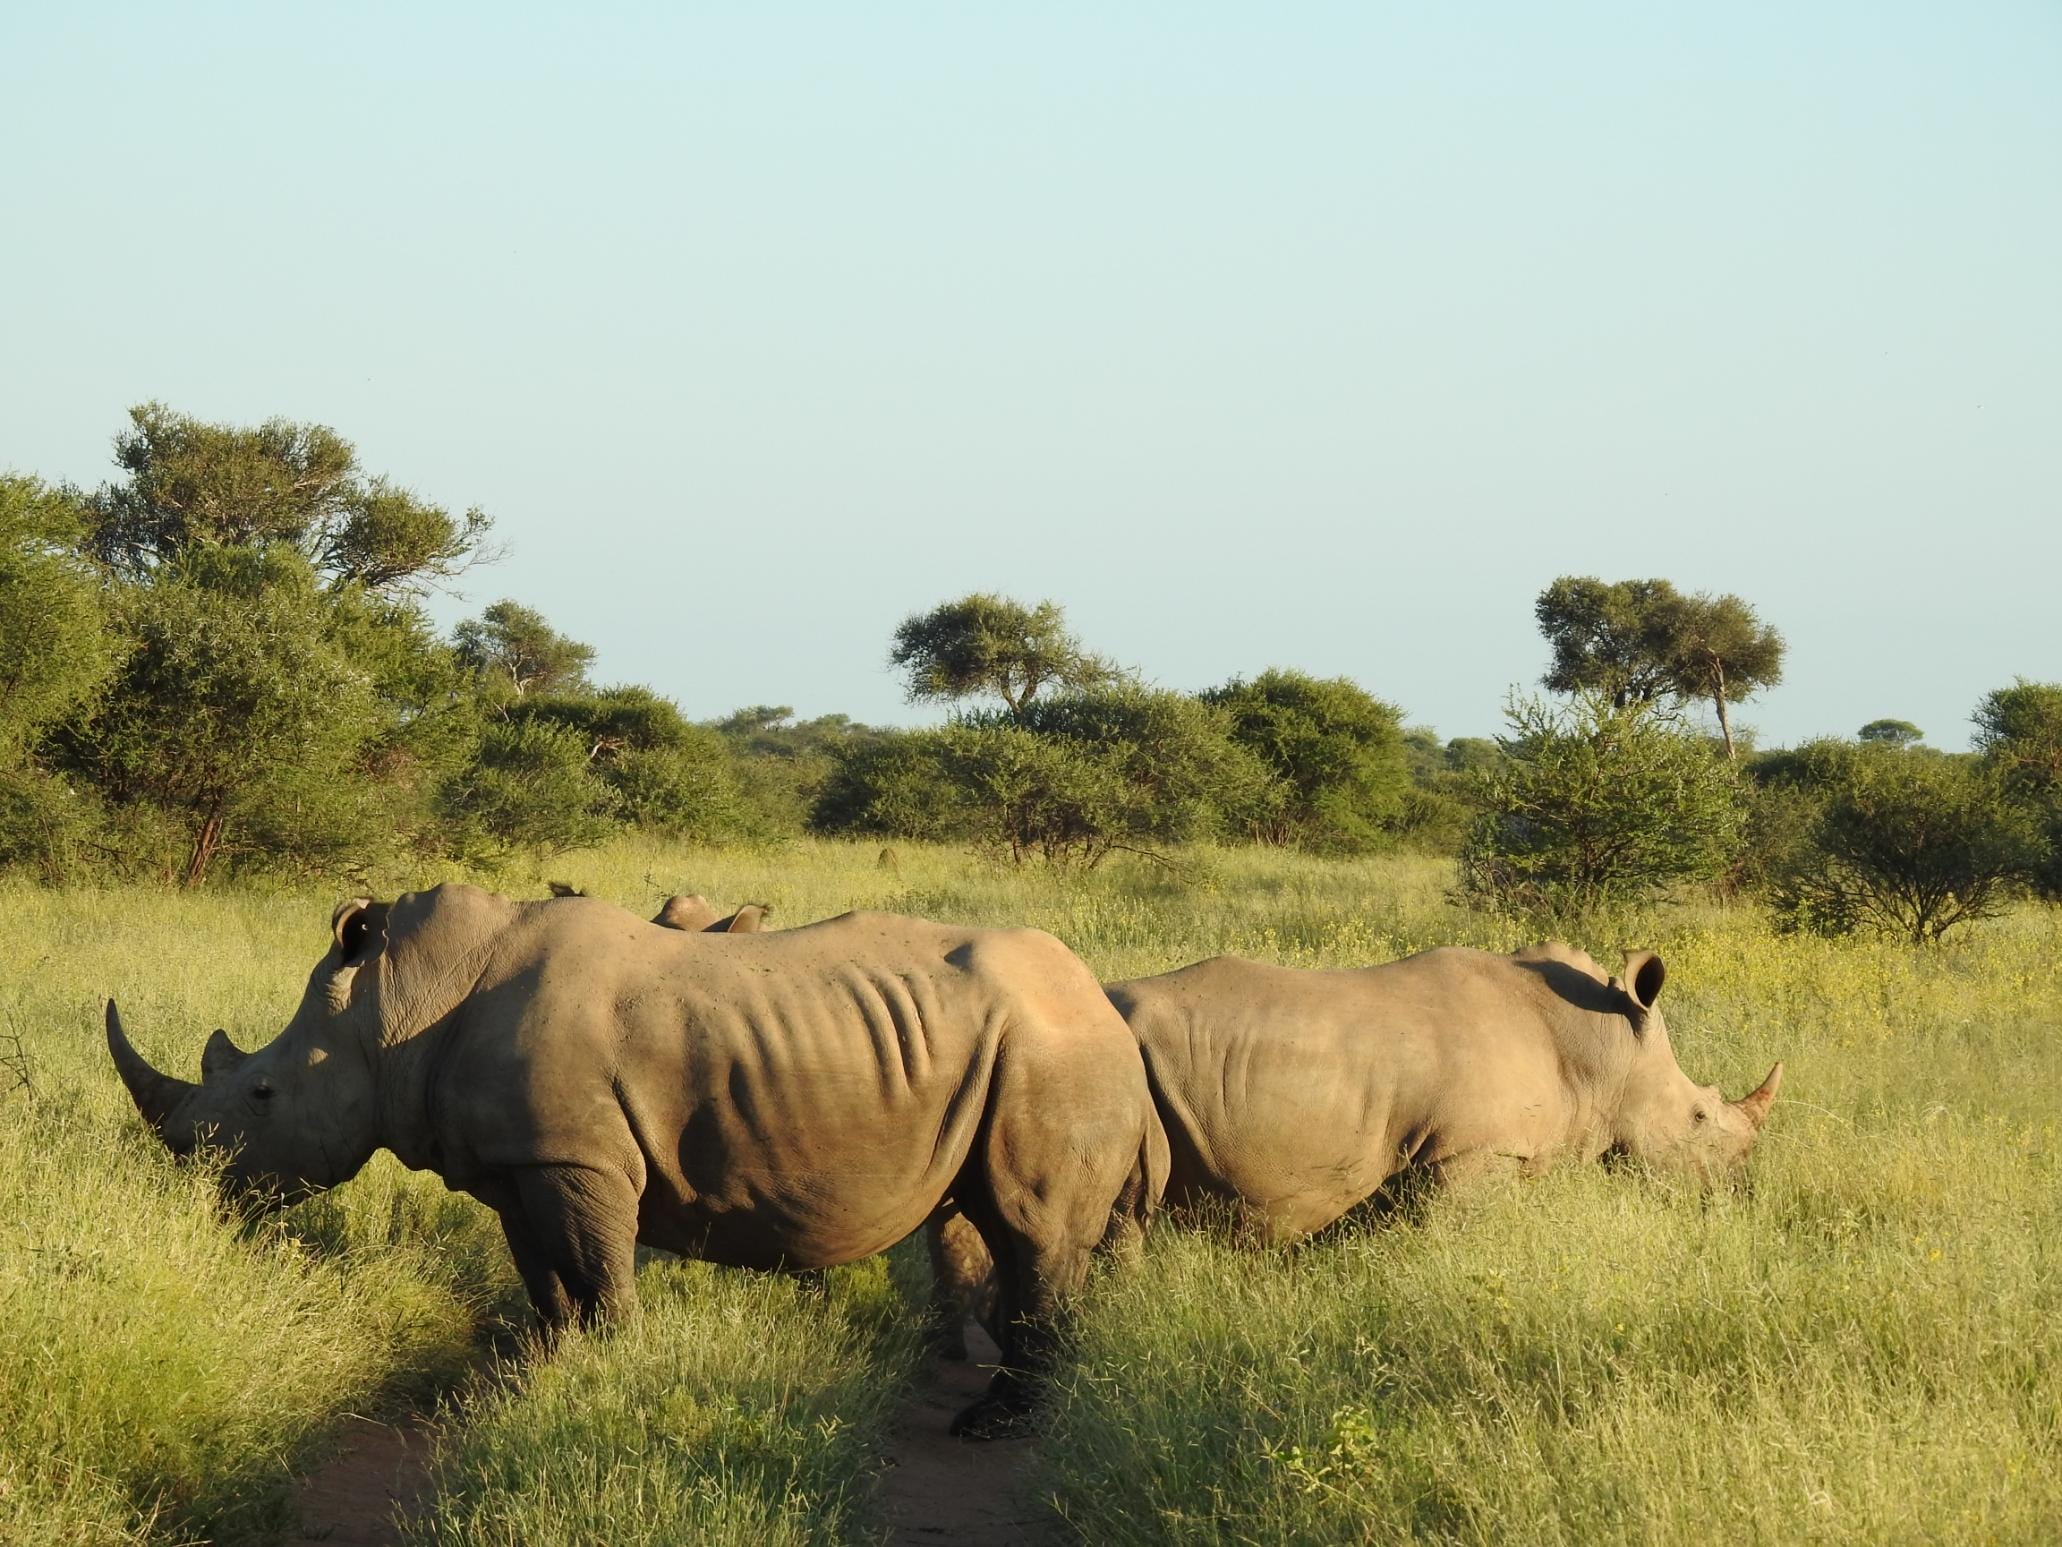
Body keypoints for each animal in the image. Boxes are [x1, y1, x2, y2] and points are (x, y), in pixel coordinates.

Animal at [105, 884, 1164, 1436]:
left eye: (260, 1094)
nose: (197, 1184)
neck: (393, 1008)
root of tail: (1106, 1004)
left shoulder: (577, 1158)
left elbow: (601, 1270)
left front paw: (606, 1370)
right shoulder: (516, 1165)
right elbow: (544, 1280)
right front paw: (537, 1374)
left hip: (1050, 1049)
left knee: (1031, 1229)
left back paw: (997, 1425)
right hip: (1021, 1051)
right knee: (997, 1221)